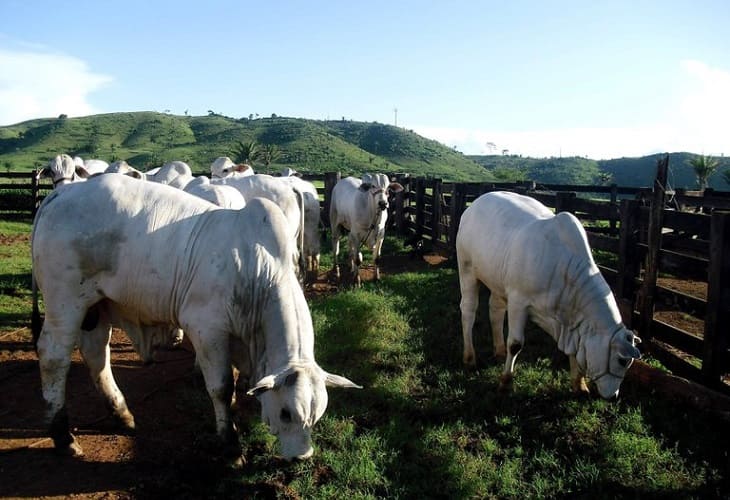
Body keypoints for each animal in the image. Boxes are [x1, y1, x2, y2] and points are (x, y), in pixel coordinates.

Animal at [32, 176, 360, 460]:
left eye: (317, 416)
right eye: (286, 413)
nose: (301, 457)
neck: (259, 270)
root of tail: (60, 194)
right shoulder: (206, 329)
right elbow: (221, 387)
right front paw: (230, 445)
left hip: (96, 306)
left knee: (96, 355)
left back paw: (122, 413)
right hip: (66, 303)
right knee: (53, 357)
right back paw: (63, 437)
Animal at [458, 191, 640, 398]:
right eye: (622, 360)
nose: (613, 395)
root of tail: (476, 203)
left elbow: (574, 351)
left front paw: (579, 384)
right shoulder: (518, 301)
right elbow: (515, 344)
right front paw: (506, 382)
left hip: (498, 280)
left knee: (495, 310)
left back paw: (499, 350)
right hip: (466, 267)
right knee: (468, 310)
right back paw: (470, 358)